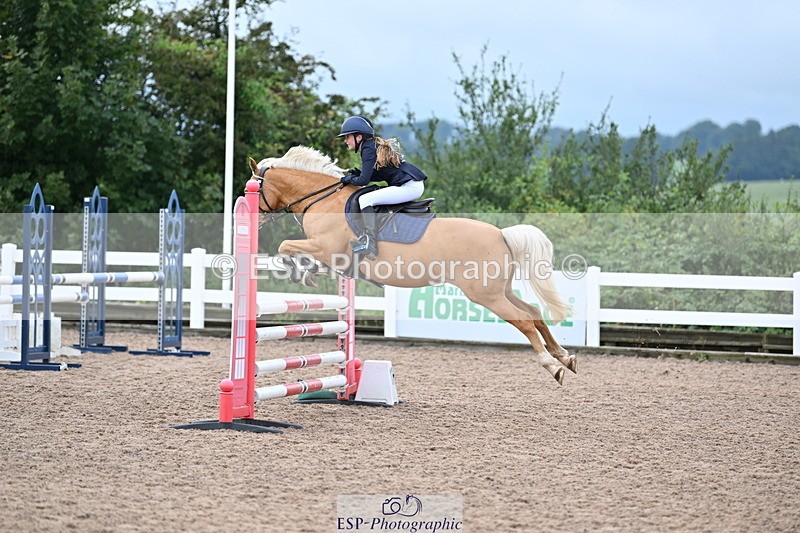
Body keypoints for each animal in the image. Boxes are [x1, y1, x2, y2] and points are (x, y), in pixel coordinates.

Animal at [248, 145, 577, 384]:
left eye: (254, 187)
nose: (254, 214)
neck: (322, 199)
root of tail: (501, 234)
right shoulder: (332, 257)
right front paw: (307, 273)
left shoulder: (325, 248)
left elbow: (284, 246)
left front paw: (300, 274)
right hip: (499, 291)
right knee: (533, 313)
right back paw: (565, 357)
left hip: (486, 295)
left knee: (524, 321)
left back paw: (553, 366)